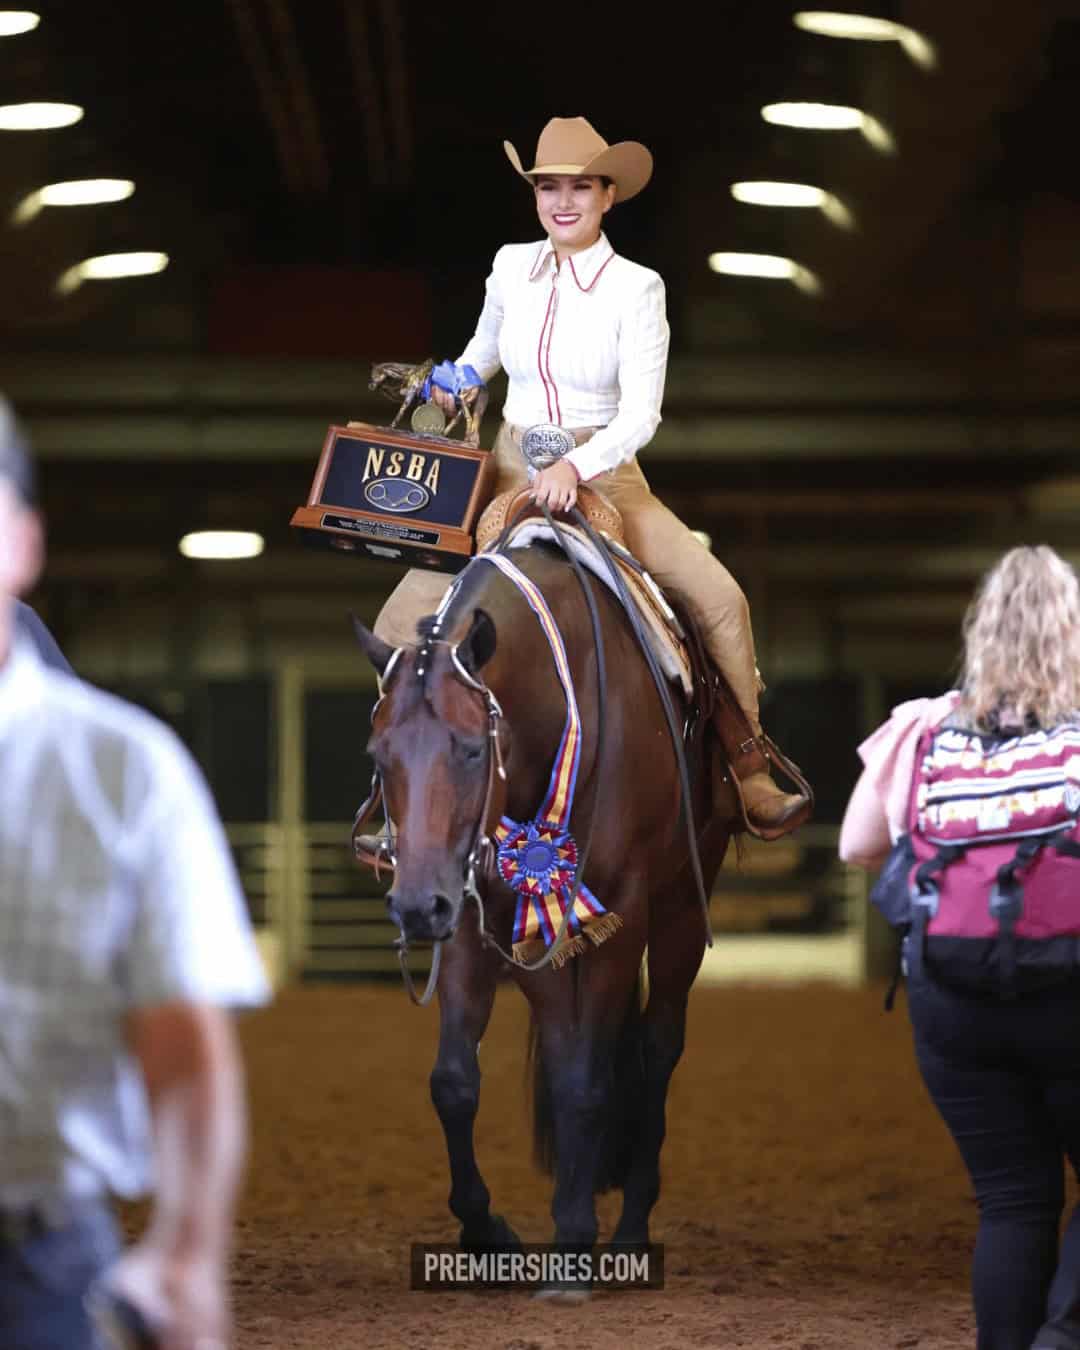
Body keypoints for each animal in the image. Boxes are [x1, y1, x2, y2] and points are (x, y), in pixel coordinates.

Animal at [351, 536, 737, 1292]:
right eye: (379, 756)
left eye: (473, 749)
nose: (414, 907)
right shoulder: (476, 915)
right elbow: (456, 1082)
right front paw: (488, 1232)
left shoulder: (621, 917)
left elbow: (589, 1079)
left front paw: (576, 1243)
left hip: (680, 905)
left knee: (654, 1048)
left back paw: (627, 1228)